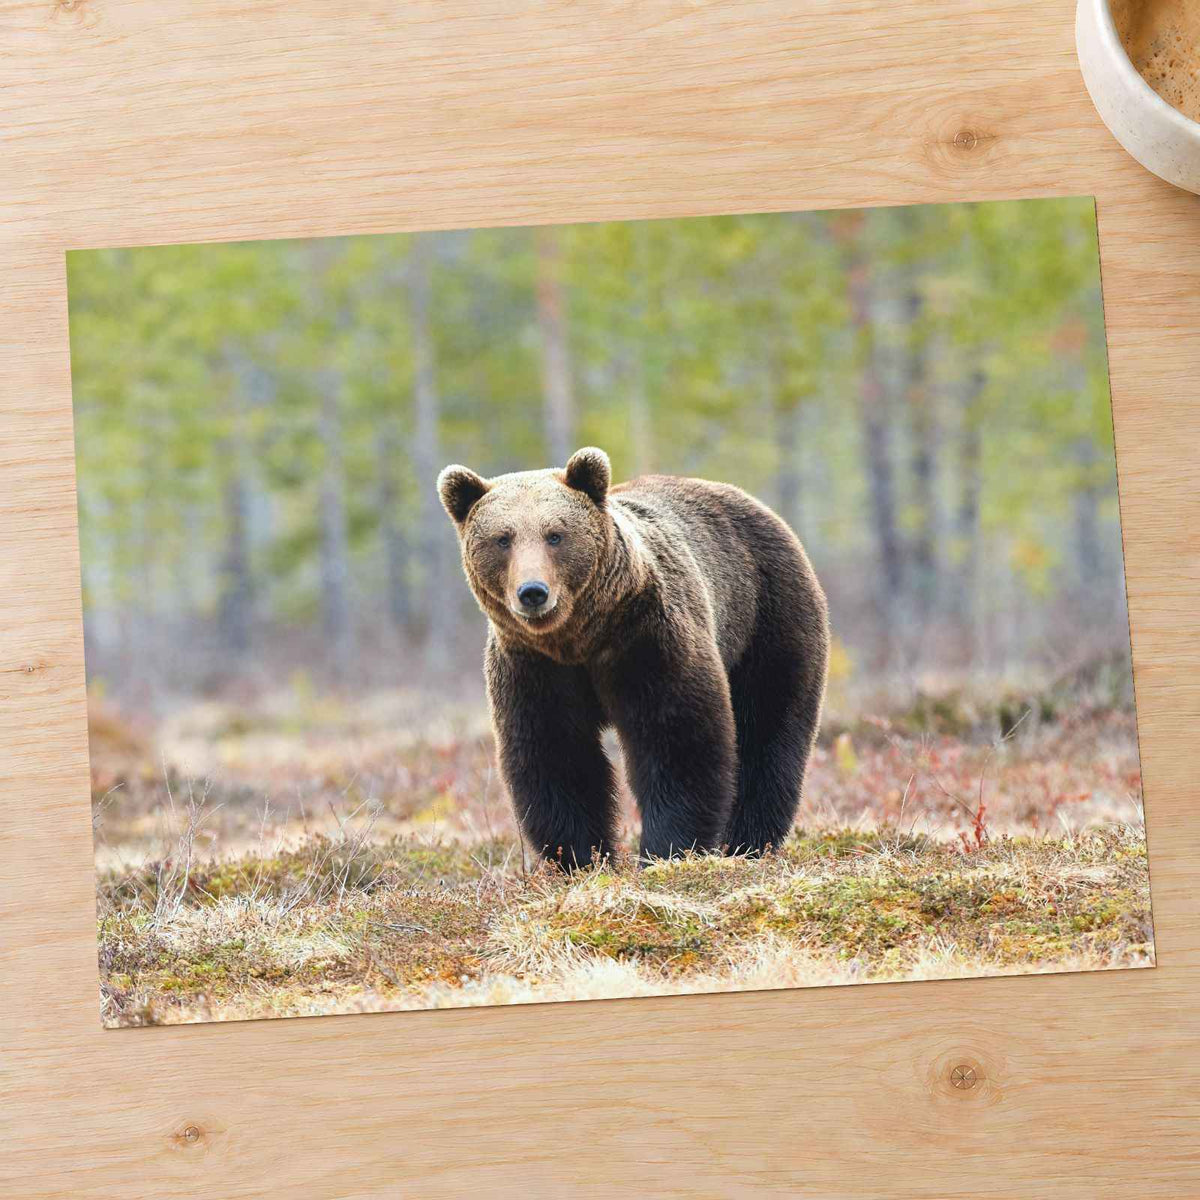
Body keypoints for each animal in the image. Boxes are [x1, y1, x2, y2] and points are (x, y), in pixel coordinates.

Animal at [437, 446, 829, 867]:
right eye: (502, 539)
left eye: (555, 535)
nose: (533, 592)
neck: (580, 637)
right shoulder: (534, 666)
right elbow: (555, 754)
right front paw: (582, 856)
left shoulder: (646, 638)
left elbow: (676, 739)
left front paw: (668, 849)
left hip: (767, 613)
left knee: (768, 725)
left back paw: (749, 840)